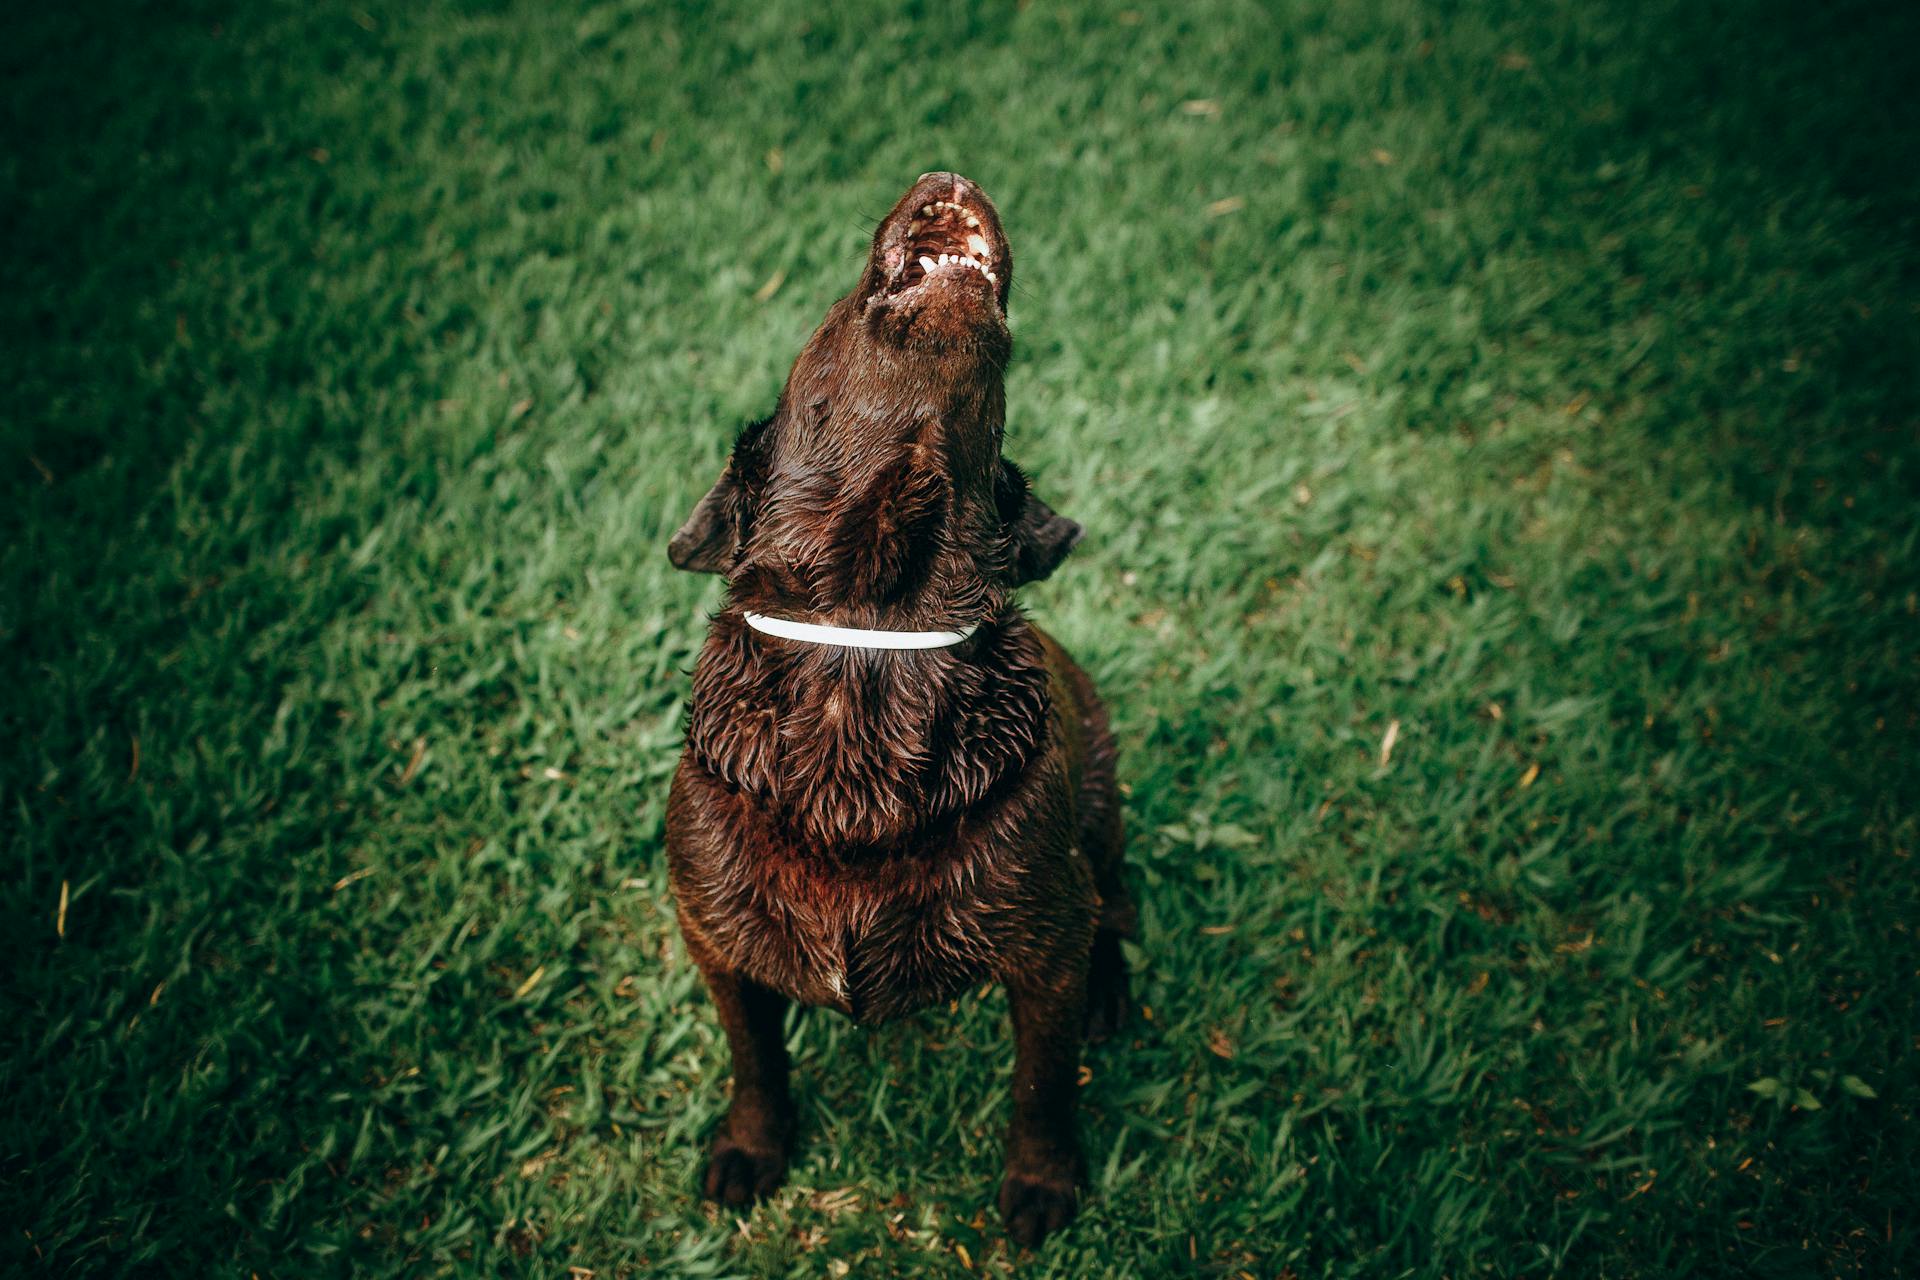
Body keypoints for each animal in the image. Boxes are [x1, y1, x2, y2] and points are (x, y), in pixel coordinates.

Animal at [668, 172, 1128, 1251]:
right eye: (830, 311)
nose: (946, 178)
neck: (873, 630)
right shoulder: (711, 933)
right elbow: (756, 1059)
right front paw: (752, 1146)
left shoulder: (1046, 944)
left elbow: (1041, 1086)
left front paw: (1043, 1180)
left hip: (1102, 810)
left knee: (1118, 904)